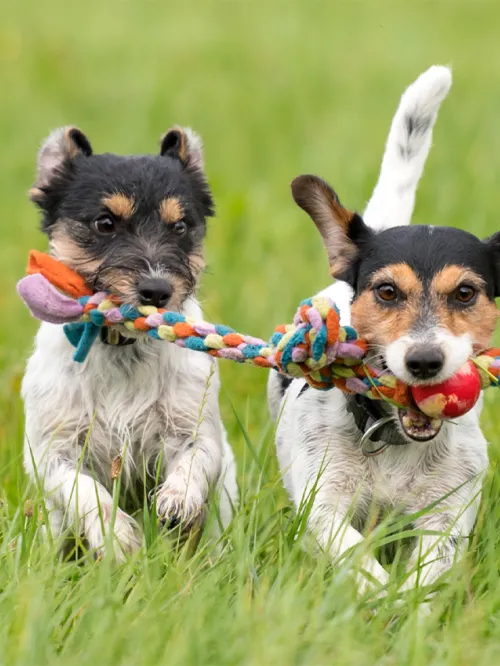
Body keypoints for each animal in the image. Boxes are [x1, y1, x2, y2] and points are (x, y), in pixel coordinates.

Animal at [24, 123, 239, 556]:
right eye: (105, 224)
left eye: (180, 227)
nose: (157, 291)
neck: (121, 347)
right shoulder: (53, 449)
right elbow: (84, 490)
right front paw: (118, 535)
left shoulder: (194, 430)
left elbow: (195, 460)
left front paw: (177, 499)